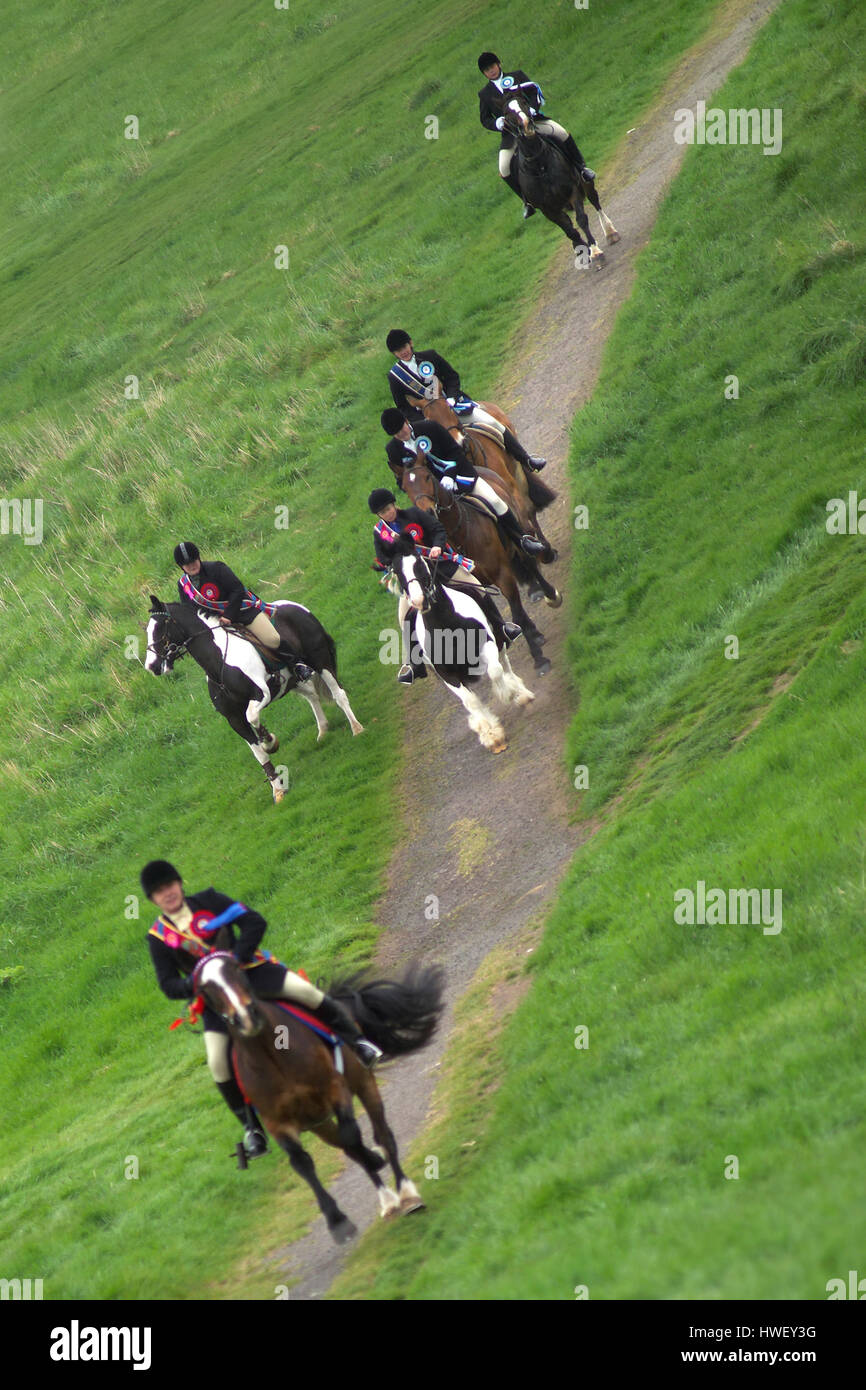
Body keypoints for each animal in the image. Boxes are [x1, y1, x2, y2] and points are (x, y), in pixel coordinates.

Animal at [145, 597, 361, 806]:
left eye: (160, 627)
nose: (151, 666)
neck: (219, 662)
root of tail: (296, 606)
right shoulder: (234, 719)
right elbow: (259, 753)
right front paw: (278, 790)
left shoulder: (261, 694)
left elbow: (253, 717)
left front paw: (270, 740)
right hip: (292, 680)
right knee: (312, 695)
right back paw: (323, 731)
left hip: (319, 659)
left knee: (338, 694)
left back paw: (357, 729)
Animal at [191, 950, 444, 1245]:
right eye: (205, 991)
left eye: (237, 969)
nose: (246, 1017)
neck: (271, 1053)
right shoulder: (279, 1124)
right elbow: (304, 1163)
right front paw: (338, 1222)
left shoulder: (335, 1090)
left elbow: (353, 1138)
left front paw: (377, 1164)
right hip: (319, 1123)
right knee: (349, 1147)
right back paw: (388, 1200)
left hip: (362, 1084)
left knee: (381, 1135)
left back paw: (406, 1194)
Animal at [389, 528, 530, 750]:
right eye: (397, 571)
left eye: (419, 562)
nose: (419, 601)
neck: (445, 625)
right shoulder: (446, 674)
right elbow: (470, 701)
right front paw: (491, 734)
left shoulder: (487, 645)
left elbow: (495, 671)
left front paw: (508, 694)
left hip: (498, 640)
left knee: (504, 663)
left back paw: (520, 692)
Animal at [500, 90, 622, 271]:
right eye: (506, 113)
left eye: (524, 103)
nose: (527, 126)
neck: (539, 165)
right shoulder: (547, 209)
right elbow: (569, 230)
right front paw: (582, 251)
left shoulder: (572, 191)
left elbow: (581, 220)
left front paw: (595, 252)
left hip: (585, 183)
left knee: (595, 202)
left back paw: (610, 233)